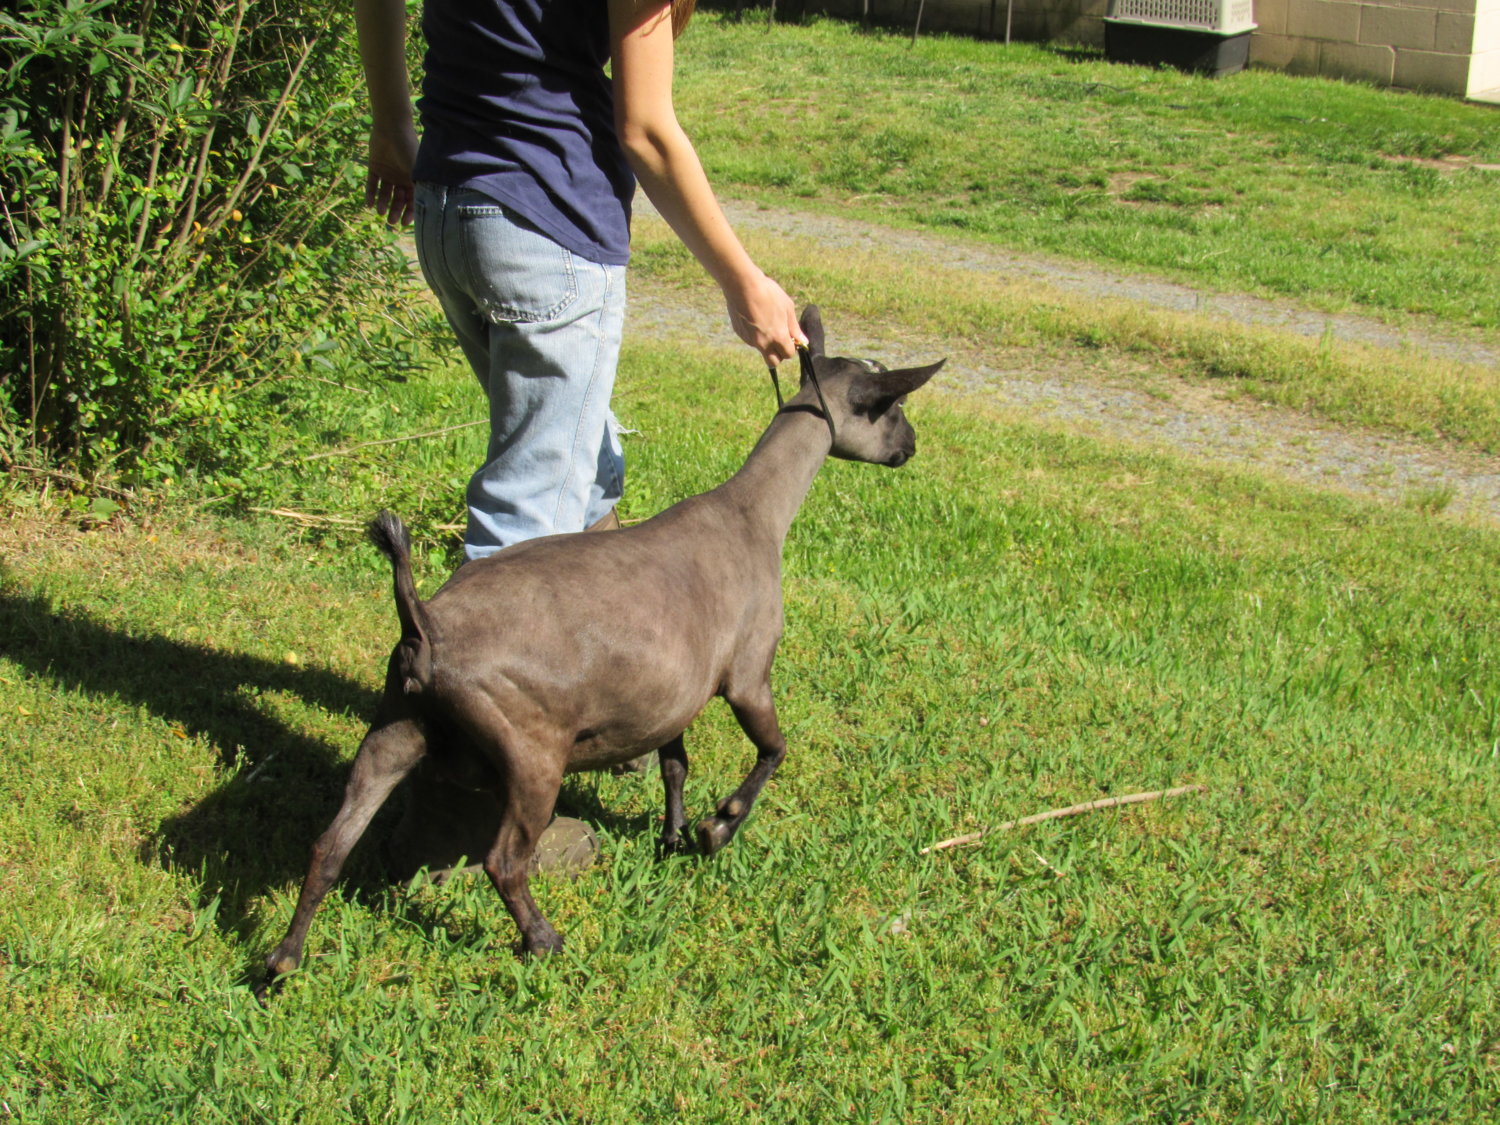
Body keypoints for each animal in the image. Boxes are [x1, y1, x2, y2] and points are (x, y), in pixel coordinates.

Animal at [259, 309, 936, 984]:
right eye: (895, 407)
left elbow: (675, 765)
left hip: (392, 727)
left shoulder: (670, 697)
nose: (911, 450)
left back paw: (281, 961)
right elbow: (775, 750)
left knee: (330, 844)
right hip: (531, 749)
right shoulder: (747, 675)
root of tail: (425, 628)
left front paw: (672, 836)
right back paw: (542, 940)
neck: (753, 515)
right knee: (505, 860)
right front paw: (716, 828)